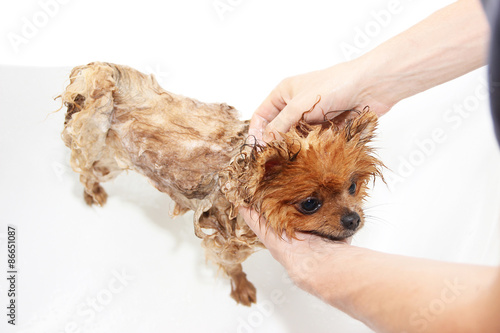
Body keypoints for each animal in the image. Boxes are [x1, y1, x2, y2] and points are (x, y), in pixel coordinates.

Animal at [60, 61, 384, 304]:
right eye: (310, 204)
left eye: (352, 187)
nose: (353, 219)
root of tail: (105, 81)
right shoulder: (223, 243)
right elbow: (233, 267)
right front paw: (241, 287)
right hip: (105, 156)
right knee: (85, 172)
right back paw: (92, 193)